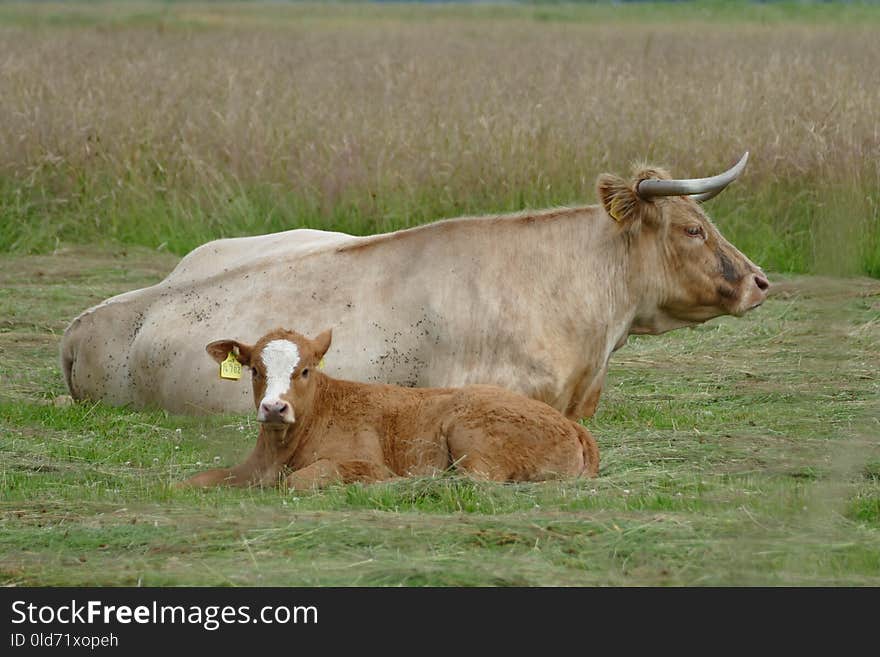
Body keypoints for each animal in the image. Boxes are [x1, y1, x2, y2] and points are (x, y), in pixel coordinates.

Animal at [184, 328, 600, 486]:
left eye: (304, 370)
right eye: (255, 369)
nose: (274, 408)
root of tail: (573, 425)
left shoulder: (364, 462)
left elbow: (300, 480)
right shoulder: (249, 469)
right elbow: (194, 480)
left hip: (471, 434)